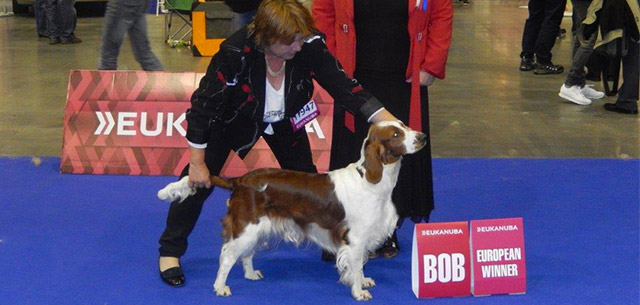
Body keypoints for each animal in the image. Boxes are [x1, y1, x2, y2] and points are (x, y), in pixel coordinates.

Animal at [158, 119, 428, 300]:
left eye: (404, 125)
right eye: (396, 134)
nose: (423, 136)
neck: (372, 181)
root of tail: (240, 180)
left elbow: (358, 265)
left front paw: (362, 281)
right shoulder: (356, 238)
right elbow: (356, 264)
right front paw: (358, 291)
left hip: (257, 229)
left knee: (246, 254)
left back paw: (251, 274)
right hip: (246, 227)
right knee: (227, 255)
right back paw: (220, 287)